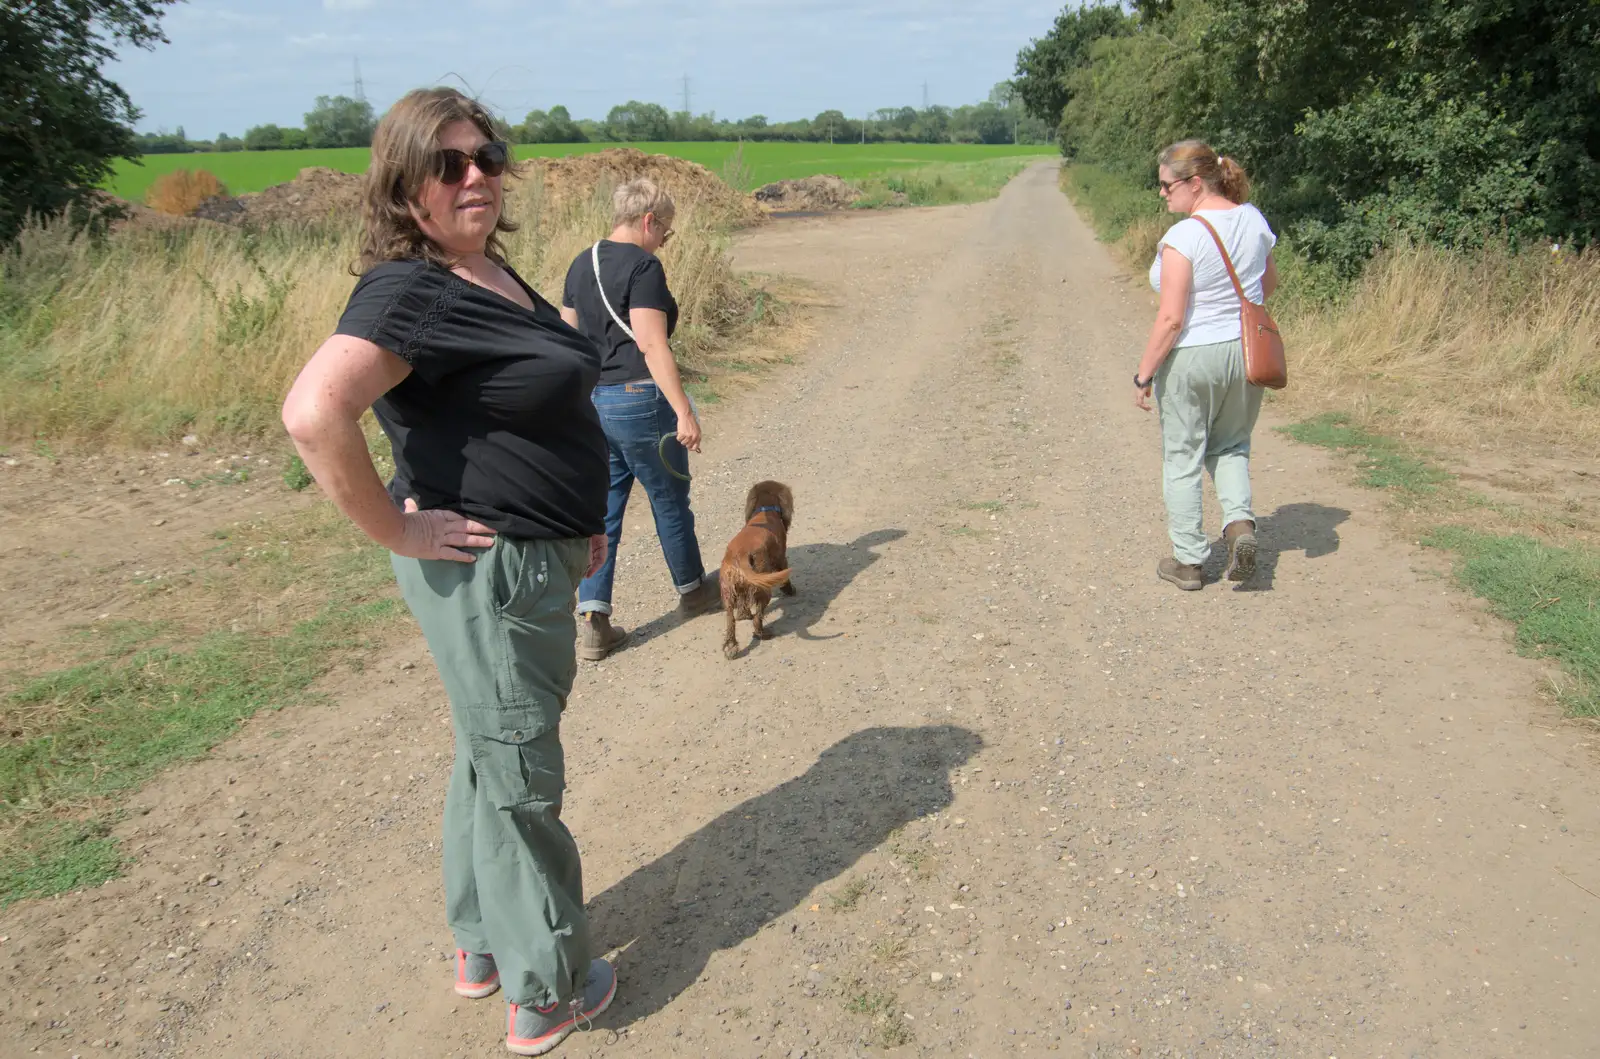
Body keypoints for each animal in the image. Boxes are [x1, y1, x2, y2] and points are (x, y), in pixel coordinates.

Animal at [720, 483, 793, 665]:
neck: (764, 510)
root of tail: (739, 555)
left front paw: (743, 614)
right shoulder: (781, 558)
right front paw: (790, 590)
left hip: (729, 594)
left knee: (731, 621)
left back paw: (731, 647)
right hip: (763, 590)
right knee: (757, 619)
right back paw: (764, 634)